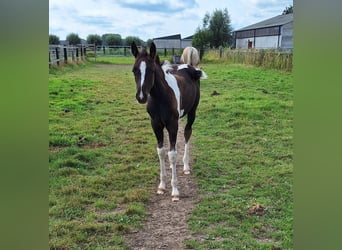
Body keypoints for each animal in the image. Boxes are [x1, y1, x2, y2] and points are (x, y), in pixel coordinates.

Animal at [130, 41, 206, 201]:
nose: (141, 97)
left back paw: (186, 166)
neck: (160, 98)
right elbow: (161, 152)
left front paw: (175, 190)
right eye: (134, 70)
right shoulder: (155, 124)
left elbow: (172, 154)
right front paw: (162, 185)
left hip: (192, 112)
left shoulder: (172, 124)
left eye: (152, 70)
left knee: (187, 133)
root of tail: (190, 67)